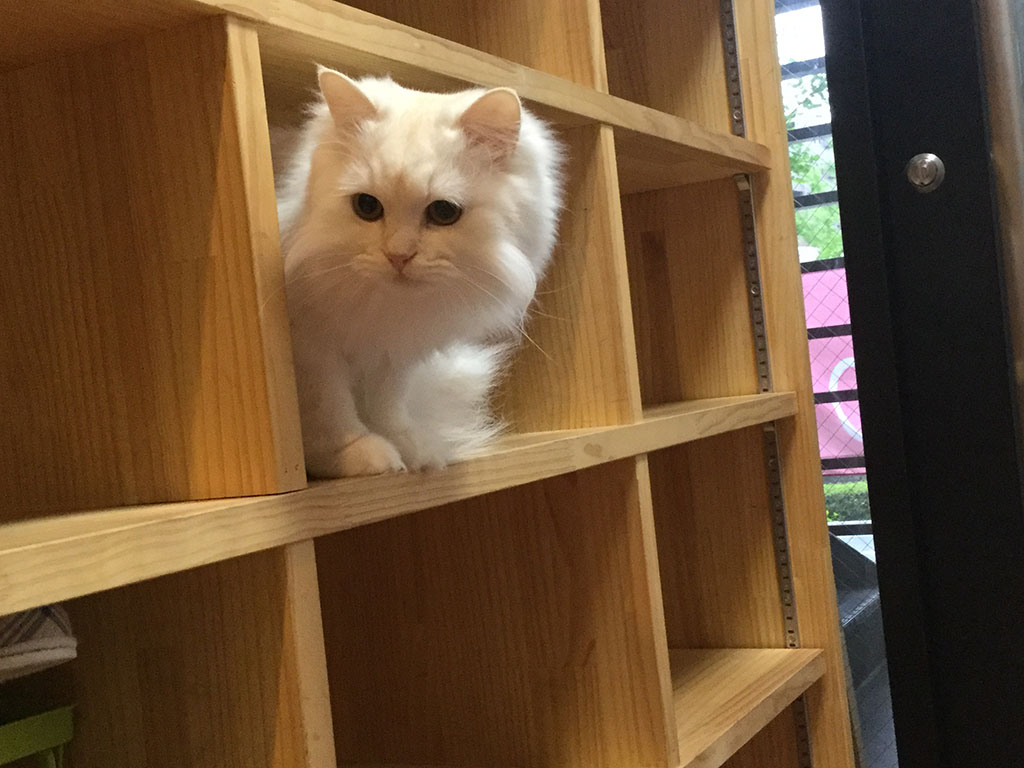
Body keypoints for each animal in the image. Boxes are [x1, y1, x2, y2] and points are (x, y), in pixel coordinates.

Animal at [273, 68, 563, 477]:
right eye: (367, 207)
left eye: (443, 212)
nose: (399, 256)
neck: (383, 308)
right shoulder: (312, 345)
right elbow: (331, 407)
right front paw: (356, 454)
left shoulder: (394, 353)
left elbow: (388, 405)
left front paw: (411, 451)